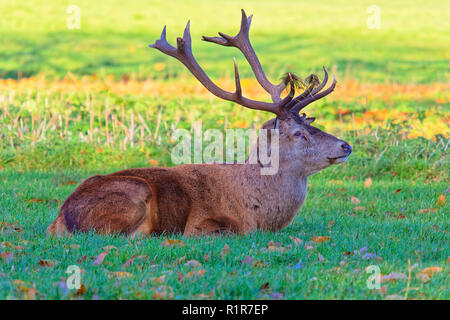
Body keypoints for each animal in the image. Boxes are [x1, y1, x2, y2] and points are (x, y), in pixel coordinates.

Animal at [48, 9, 352, 238]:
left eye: (311, 124)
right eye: (299, 133)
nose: (346, 146)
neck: (258, 212)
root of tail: (60, 219)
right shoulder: (203, 225)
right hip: (134, 192)